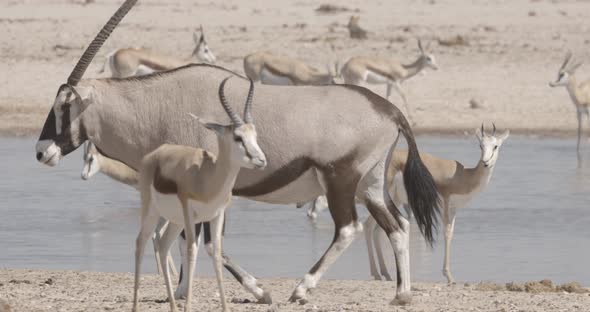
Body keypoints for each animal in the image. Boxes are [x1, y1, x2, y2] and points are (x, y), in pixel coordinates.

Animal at [135, 76, 268, 312]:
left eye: (255, 134)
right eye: (237, 137)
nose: (261, 160)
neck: (207, 178)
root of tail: (156, 153)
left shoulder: (217, 215)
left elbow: (216, 254)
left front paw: (225, 308)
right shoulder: (191, 216)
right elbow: (191, 250)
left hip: (175, 220)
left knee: (162, 245)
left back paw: (172, 306)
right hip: (153, 211)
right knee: (141, 243)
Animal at [310, 123, 508, 282]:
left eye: (495, 146)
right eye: (480, 145)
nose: (485, 162)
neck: (462, 176)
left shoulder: (453, 210)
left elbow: (450, 235)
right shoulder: (445, 204)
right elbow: (446, 234)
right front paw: (449, 277)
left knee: (374, 229)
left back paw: (383, 273)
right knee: (369, 227)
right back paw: (379, 273)